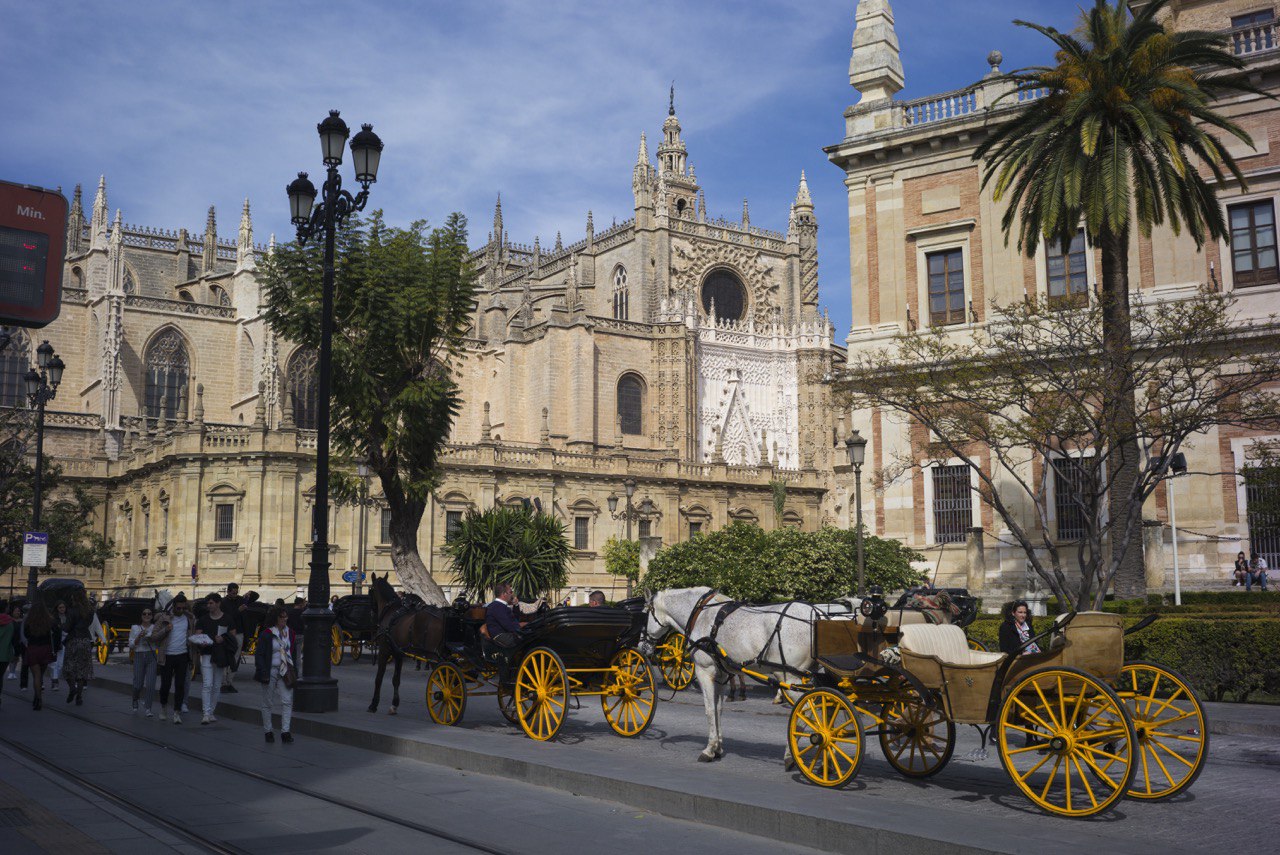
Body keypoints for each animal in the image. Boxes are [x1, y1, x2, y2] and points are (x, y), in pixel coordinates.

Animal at [368, 573, 448, 716]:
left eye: (369, 591)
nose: (372, 614)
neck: (391, 611)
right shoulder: (398, 653)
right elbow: (396, 679)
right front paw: (394, 705)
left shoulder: (384, 650)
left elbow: (379, 678)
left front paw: (373, 704)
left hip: (434, 657)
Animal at [650, 588, 819, 762]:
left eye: (646, 611)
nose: (645, 644)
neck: (702, 613)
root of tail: (815, 615)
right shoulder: (720, 675)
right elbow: (718, 709)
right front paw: (717, 748)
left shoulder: (704, 671)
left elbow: (709, 709)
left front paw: (709, 749)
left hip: (790, 678)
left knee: (805, 712)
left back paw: (791, 754)